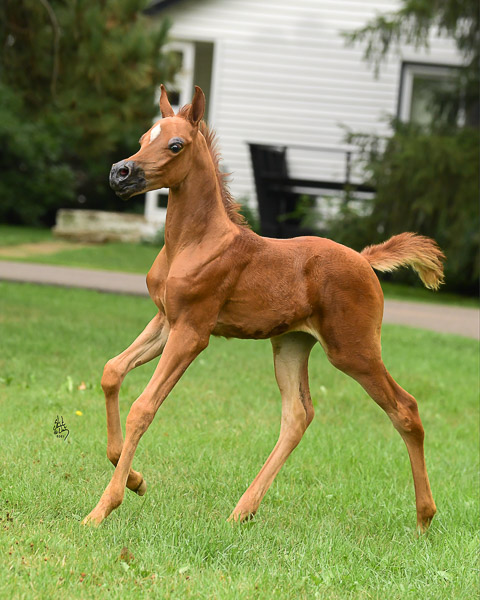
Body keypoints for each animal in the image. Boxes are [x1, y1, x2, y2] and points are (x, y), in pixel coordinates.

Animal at [81, 85, 442, 528]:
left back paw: (424, 518)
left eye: (175, 145)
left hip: (353, 350)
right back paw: (243, 510)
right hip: (291, 344)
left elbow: (143, 408)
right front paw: (135, 479)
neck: (193, 243)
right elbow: (112, 371)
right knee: (298, 416)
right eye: (143, 138)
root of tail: (364, 259)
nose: (121, 172)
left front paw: (103, 508)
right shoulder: (166, 320)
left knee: (405, 408)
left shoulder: (193, 331)